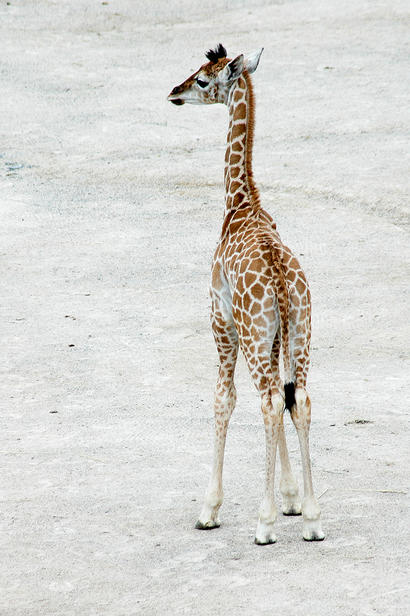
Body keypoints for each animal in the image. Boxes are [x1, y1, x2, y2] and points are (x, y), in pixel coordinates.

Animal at [167, 44, 324, 544]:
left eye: (202, 79)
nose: (174, 93)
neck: (241, 203)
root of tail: (280, 282)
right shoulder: (273, 337)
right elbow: (284, 400)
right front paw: (293, 500)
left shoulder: (220, 320)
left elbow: (223, 399)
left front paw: (209, 509)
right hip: (300, 332)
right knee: (299, 399)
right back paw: (313, 520)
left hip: (253, 335)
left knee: (270, 402)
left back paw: (263, 523)